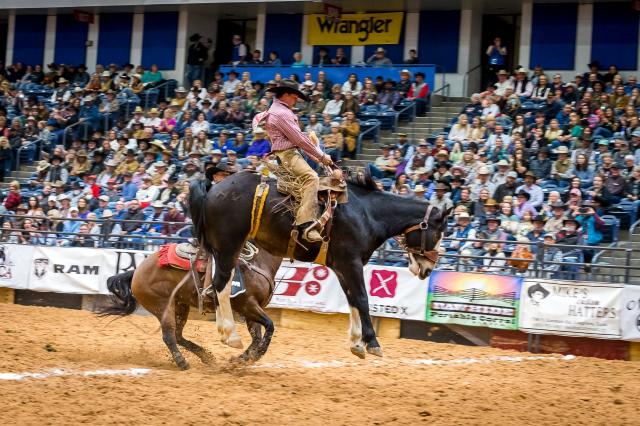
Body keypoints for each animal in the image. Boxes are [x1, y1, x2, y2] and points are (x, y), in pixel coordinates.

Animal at [98, 246, 282, 370]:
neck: (258, 261)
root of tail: (136, 272)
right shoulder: (248, 304)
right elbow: (269, 326)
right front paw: (255, 355)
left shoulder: (252, 308)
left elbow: (257, 337)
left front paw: (241, 359)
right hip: (162, 306)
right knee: (169, 336)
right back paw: (182, 363)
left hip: (180, 306)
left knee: (178, 335)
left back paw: (206, 357)